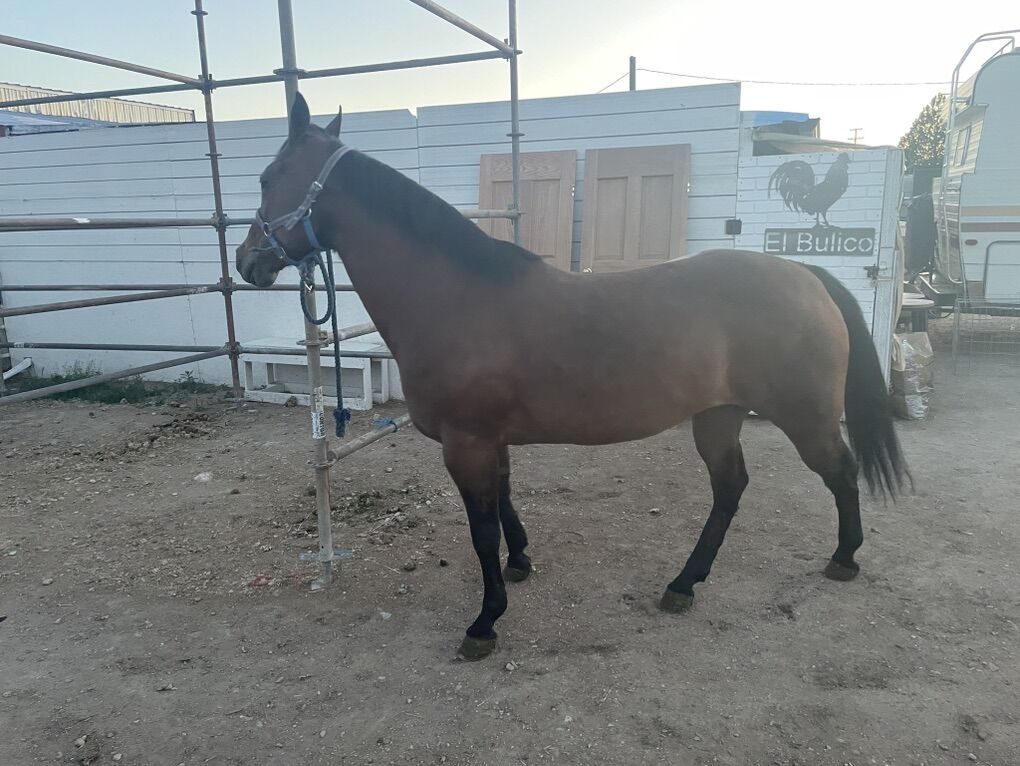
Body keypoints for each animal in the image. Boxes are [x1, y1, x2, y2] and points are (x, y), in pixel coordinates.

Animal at [236, 93, 909, 661]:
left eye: (268, 178)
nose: (247, 262)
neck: (458, 297)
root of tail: (805, 275)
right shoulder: (490, 441)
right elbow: (505, 503)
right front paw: (521, 563)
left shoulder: (465, 444)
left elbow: (481, 530)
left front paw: (485, 621)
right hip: (717, 417)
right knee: (730, 489)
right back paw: (685, 583)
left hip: (804, 417)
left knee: (840, 471)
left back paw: (843, 558)